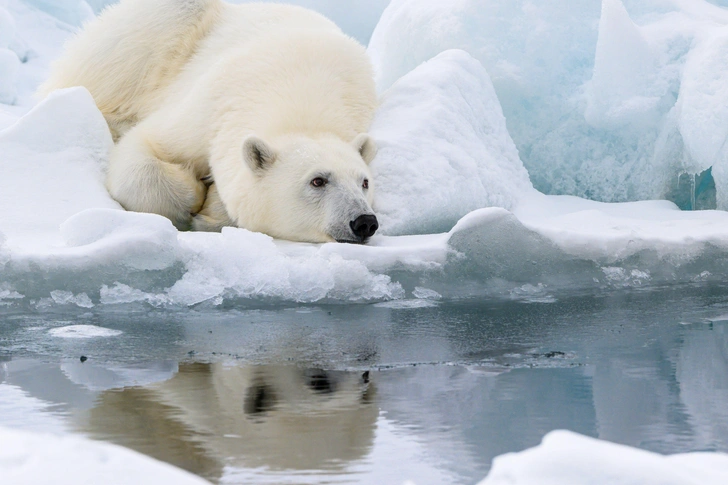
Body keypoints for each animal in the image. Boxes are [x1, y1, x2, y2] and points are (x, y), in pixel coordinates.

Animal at [41, 0, 382, 242]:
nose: (364, 221)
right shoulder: (209, 104)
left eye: (364, 182)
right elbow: (145, 150)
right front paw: (193, 195)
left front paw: (212, 211)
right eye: (317, 180)